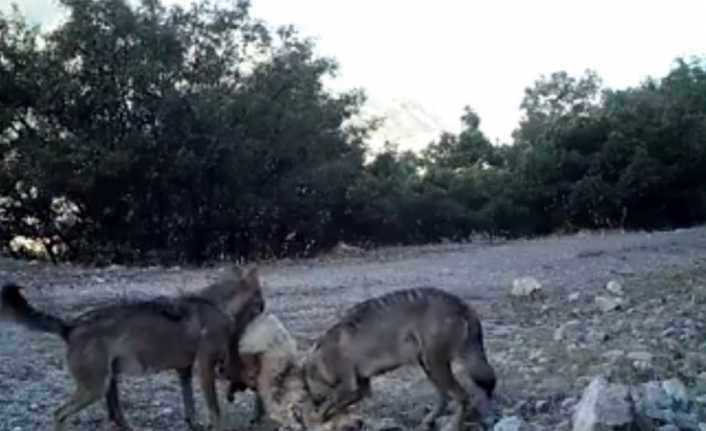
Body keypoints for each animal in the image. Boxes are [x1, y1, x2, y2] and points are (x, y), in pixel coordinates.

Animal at [0, 264, 264, 430]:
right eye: (260, 298)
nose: (265, 308)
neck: (217, 303)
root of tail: (71, 325)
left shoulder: (184, 371)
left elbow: (190, 408)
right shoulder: (205, 368)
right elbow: (215, 410)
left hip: (108, 382)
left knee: (116, 416)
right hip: (94, 388)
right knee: (59, 414)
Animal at [302, 288, 496, 431]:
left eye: (308, 390)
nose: (312, 402)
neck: (321, 358)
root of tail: (463, 304)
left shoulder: (349, 386)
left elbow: (328, 406)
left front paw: (313, 420)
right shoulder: (362, 389)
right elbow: (335, 407)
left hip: (436, 366)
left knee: (463, 397)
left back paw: (451, 426)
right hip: (429, 366)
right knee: (445, 399)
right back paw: (427, 422)